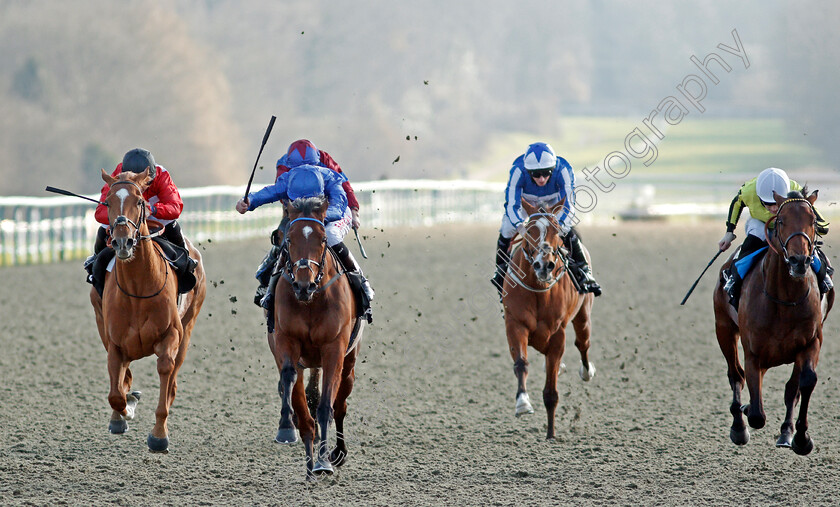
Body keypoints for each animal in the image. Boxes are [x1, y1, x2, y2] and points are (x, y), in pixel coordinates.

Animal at [89, 169, 206, 454]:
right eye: (107, 201)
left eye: (140, 201)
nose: (123, 242)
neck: (137, 288)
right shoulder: (114, 341)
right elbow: (116, 393)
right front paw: (125, 411)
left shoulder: (171, 335)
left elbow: (165, 370)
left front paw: (159, 436)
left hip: (189, 327)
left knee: (173, 377)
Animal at [270, 196, 360, 478]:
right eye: (289, 240)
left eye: (322, 239)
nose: (303, 284)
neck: (310, 302)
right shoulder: (285, 341)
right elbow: (291, 384)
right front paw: (286, 428)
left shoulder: (334, 348)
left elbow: (325, 406)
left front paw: (323, 461)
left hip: (349, 362)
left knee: (340, 406)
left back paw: (337, 452)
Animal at [498, 198, 596, 440]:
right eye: (530, 231)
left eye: (557, 231)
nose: (544, 265)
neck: (538, 288)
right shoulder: (515, 325)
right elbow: (521, 363)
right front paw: (522, 403)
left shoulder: (557, 334)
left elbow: (551, 391)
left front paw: (551, 435)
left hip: (583, 316)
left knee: (583, 343)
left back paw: (586, 371)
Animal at [716, 189, 832, 454]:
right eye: (781, 221)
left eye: (813, 221)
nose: (799, 261)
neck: (784, 300)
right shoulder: (752, 351)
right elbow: (757, 413)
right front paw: (746, 413)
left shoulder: (811, 342)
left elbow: (804, 383)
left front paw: (801, 438)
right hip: (724, 329)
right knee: (735, 375)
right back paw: (739, 426)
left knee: (790, 389)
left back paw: (786, 433)